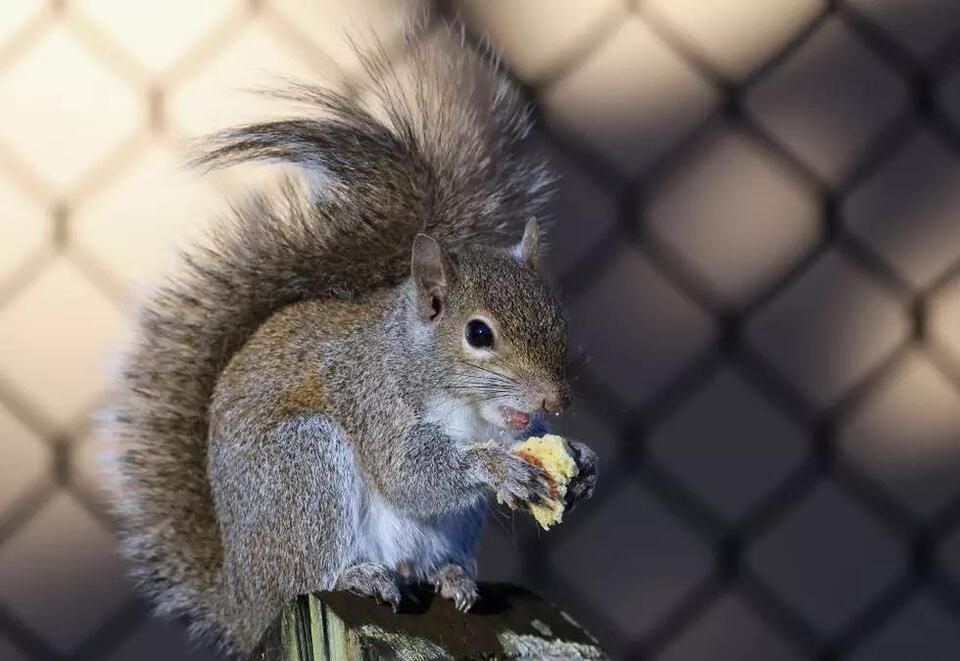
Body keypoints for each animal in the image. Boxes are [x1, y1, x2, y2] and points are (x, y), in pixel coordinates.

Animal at [106, 23, 597, 657]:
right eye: (478, 333)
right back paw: (359, 574)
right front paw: (494, 468)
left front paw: (581, 460)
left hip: (445, 525)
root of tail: (247, 600)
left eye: (557, 315)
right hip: (304, 468)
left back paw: (451, 575)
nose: (556, 400)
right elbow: (409, 473)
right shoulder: (373, 399)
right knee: (314, 567)